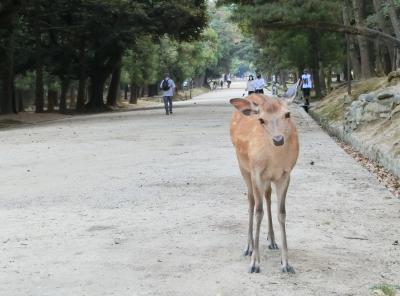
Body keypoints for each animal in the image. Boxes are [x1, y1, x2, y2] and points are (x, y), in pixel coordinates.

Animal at [230, 93, 298, 274]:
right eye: (261, 119)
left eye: (287, 114)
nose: (278, 139)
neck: (274, 159)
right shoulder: (256, 172)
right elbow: (258, 211)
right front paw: (255, 263)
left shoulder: (285, 174)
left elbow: (281, 212)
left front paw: (286, 263)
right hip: (243, 167)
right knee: (251, 201)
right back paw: (249, 246)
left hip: (267, 178)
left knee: (267, 197)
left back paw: (272, 240)